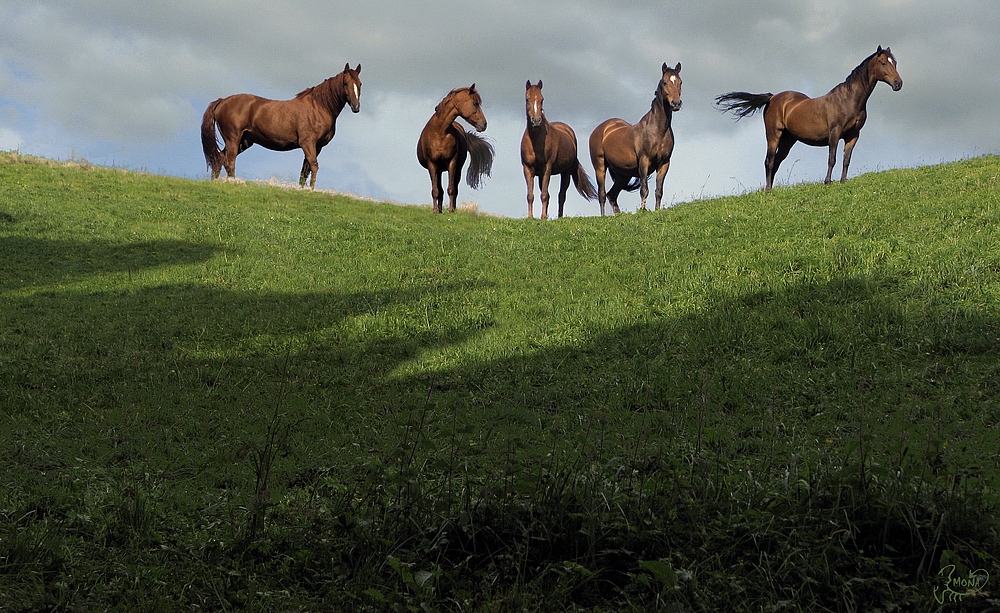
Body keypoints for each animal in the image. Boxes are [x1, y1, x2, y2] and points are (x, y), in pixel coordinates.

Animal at [201, 62, 362, 188]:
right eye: (345, 83)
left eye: (360, 84)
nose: (356, 107)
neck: (318, 107)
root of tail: (222, 101)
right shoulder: (307, 143)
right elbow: (314, 165)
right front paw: (311, 189)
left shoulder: (317, 146)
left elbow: (305, 169)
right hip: (233, 139)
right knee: (230, 161)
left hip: (244, 141)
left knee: (221, 158)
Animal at [416, 83, 494, 213]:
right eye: (475, 103)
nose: (484, 124)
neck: (440, 132)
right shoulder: (432, 164)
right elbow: (435, 190)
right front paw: (435, 211)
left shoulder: (452, 163)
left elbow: (451, 189)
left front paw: (451, 210)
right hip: (439, 170)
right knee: (440, 190)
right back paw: (440, 209)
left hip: (457, 169)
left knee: (454, 188)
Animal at [520, 79, 596, 218]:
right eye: (527, 99)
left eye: (542, 99)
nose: (536, 121)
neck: (535, 141)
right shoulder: (528, 168)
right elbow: (530, 195)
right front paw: (531, 217)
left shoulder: (547, 168)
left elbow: (545, 195)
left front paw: (543, 217)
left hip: (565, 173)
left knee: (562, 196)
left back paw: (559, 216)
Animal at [588, 63, 684, 216]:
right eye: (665, 82)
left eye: (680, 82)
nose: (676, 103)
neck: (658, 130)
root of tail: (600, 130)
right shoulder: (644, 161)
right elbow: (644, 190)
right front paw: (643, 211)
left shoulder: (664, 163)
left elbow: (659, 191)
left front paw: (657, 210)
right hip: (600, 166)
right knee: (602, 194)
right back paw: (603, 216)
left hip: (623, 174)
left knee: (612, 195)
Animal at [716, 46, 904, 189]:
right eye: (883, 63)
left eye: (894, 62)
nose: (898, 83)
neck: (849, 99)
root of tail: (772, 98)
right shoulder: (834, 133)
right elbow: (832, 158)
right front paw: (827, 182)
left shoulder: (853, 136)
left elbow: (846, 160)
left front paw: (843, 182)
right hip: (773, 135)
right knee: (769, 161)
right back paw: (767, 190)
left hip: (788, 140)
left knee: (776, 162)